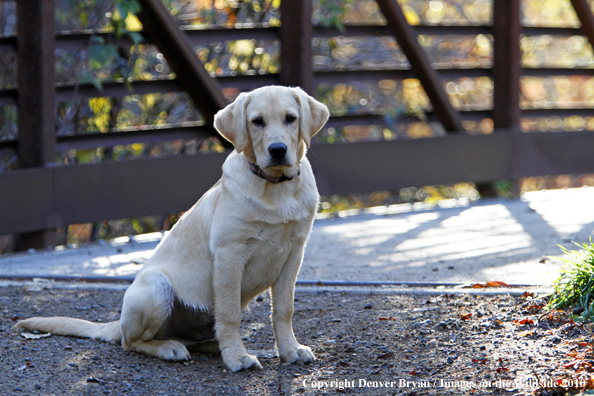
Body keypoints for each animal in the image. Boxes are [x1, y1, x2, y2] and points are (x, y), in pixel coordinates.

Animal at [15, 85, 328, 372]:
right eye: (257, 121)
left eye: (290, 118)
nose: (278, 150)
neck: (275, 187)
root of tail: (118, 323)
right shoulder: (230, 254)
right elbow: (229, 315)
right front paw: (237, 357)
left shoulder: (293, 253)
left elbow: (284, 309)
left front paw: (290, 350)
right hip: (156, 288)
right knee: (132, 342)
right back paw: (170, 348)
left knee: (199, 337)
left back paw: (211, 345)